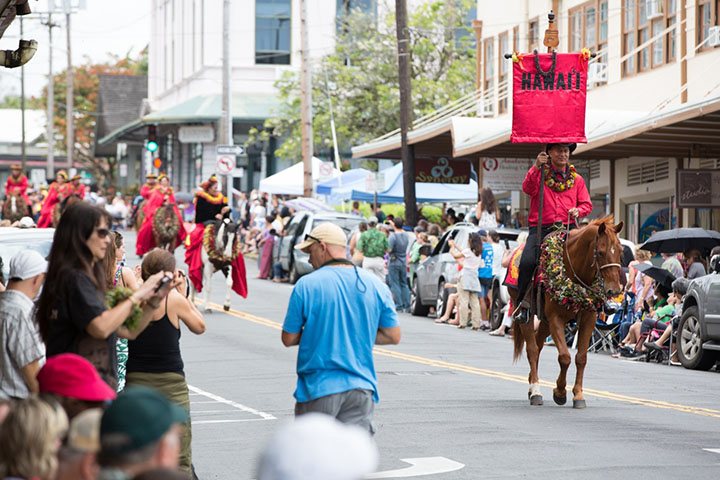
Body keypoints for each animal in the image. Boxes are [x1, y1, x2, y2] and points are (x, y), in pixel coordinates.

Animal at [512, 218, 624, 408]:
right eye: (601, 252)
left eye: (620, 252)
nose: (614, 290)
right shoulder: (556, 319)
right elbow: (564, 357)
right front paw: (560, 392)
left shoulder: (588, 319)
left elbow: (581, 358)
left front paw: (578, 395)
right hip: (527, 316)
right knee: (532, 349)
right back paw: (535, 391)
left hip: (545, 322)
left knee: (539, 344)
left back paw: (530, 384)